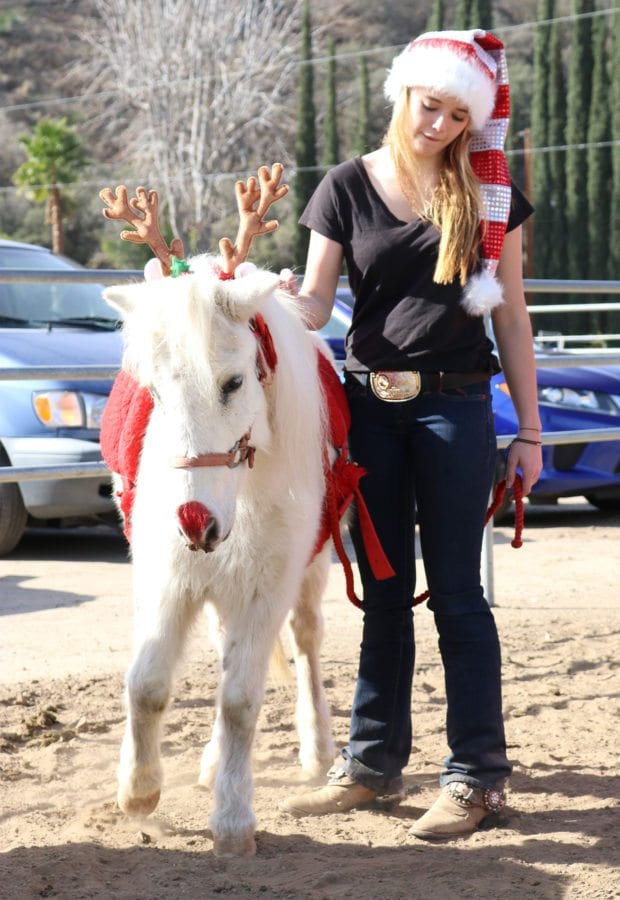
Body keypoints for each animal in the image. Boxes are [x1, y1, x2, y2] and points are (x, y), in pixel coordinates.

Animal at [103, 256, 334, 856]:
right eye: (155, 393)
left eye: (233, 382)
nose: (194, 522)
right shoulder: (169, 578)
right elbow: (147, 685)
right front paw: (138, 791)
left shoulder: (267, 589)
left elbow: (239, 701)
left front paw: (232, 821)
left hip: (310, 572)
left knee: (306, 640)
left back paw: (318, 749)